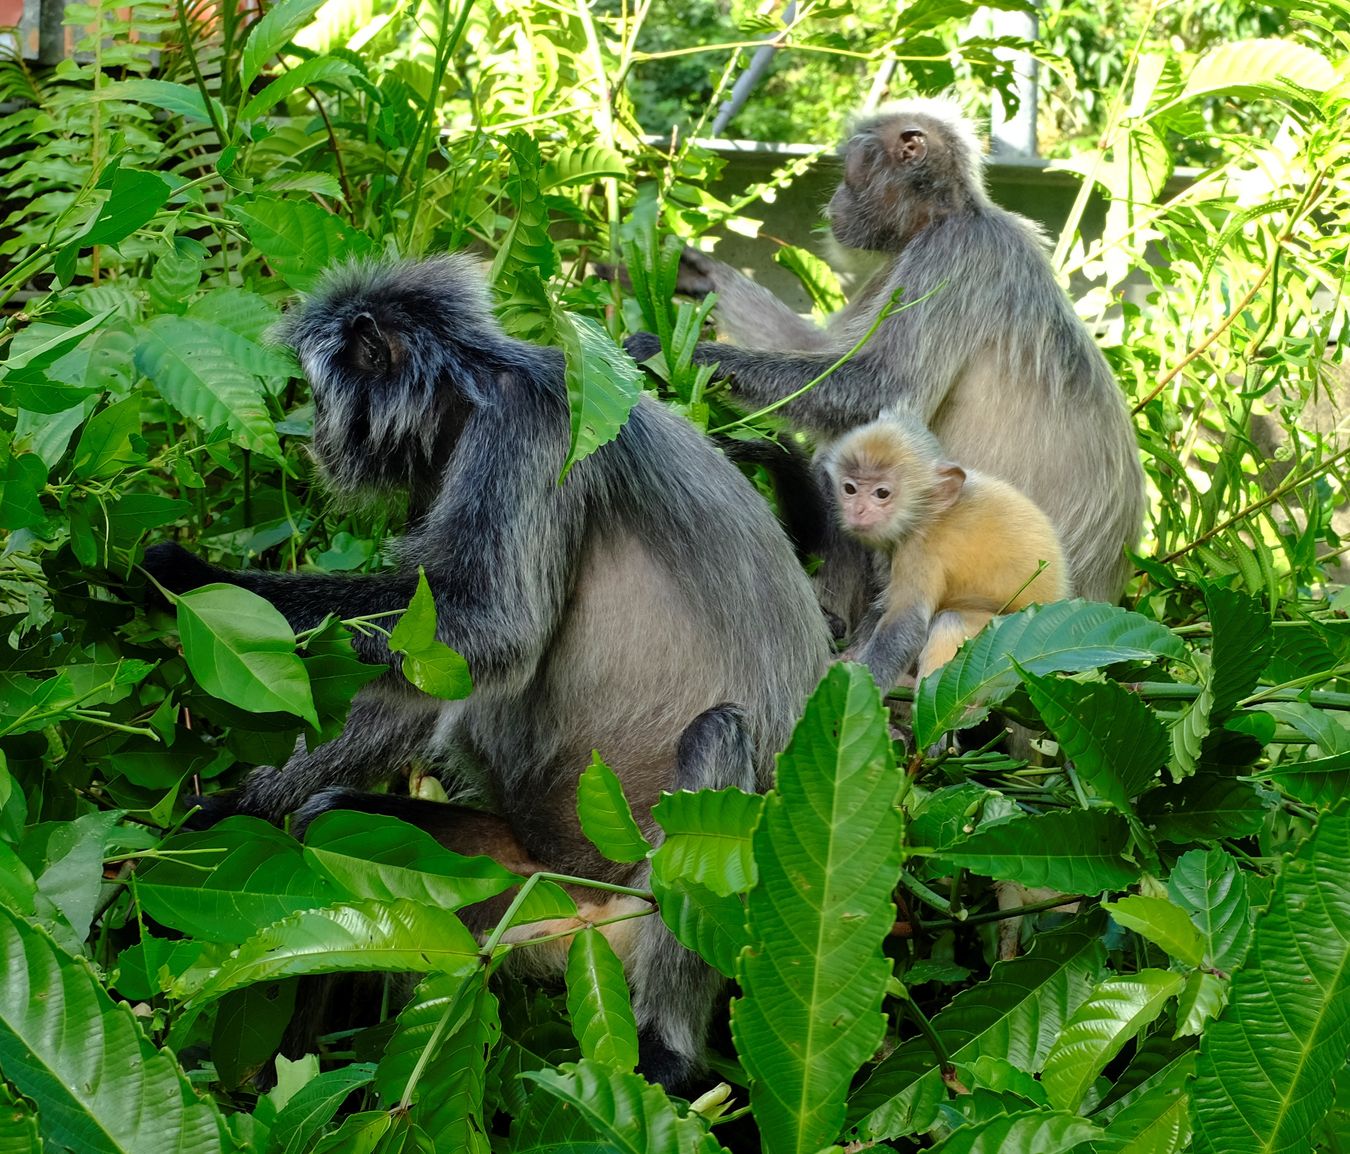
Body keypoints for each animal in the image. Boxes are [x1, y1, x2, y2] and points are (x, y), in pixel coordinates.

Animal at [820, 413, 1063, 691]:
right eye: (850, 489)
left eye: (882, 493)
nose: (857, 510)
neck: (930, 513)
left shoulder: (919, 549)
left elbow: (906, 623)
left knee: (950, 621)